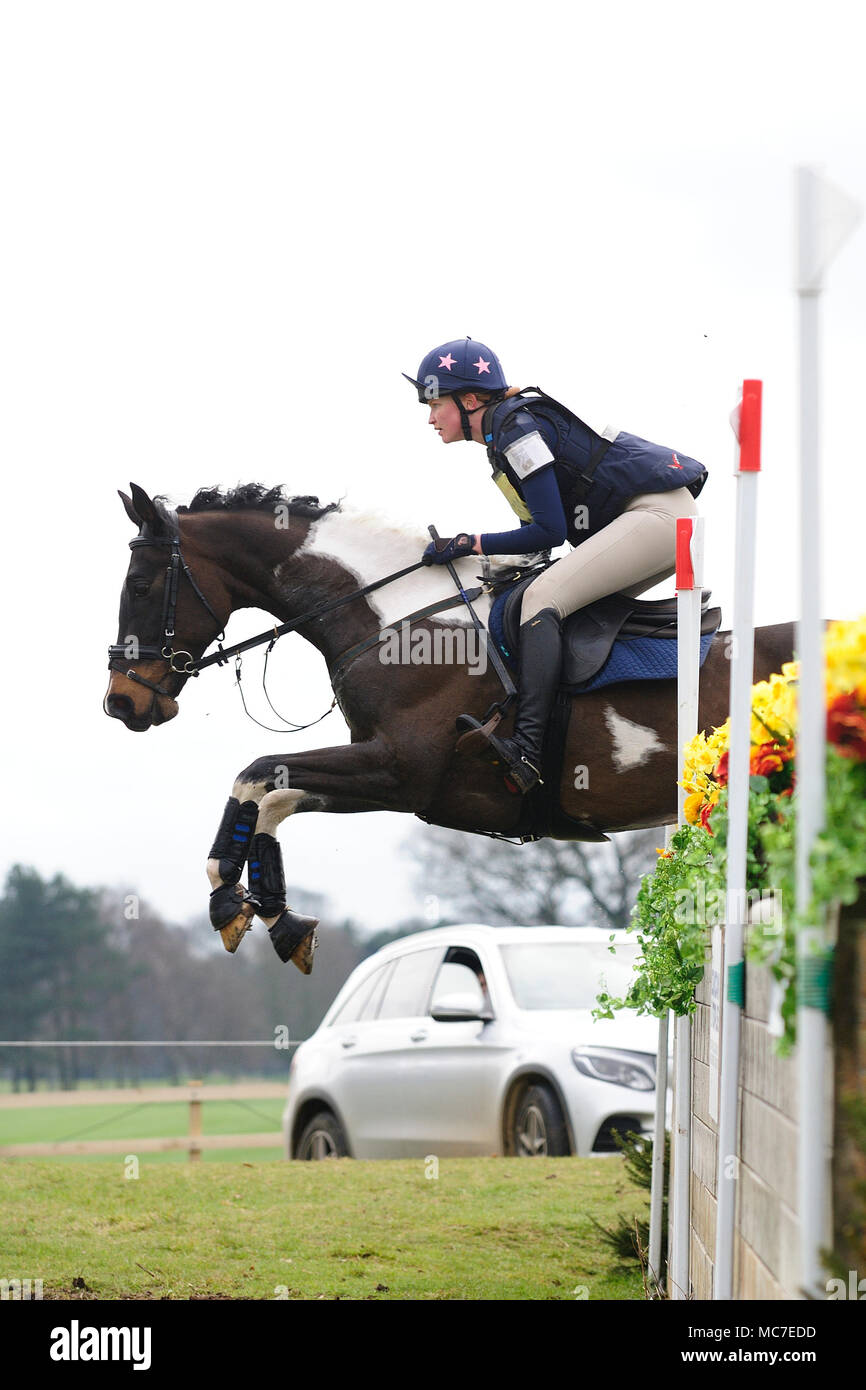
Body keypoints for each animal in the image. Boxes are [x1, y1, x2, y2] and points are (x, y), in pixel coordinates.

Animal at [104, 483, 795, 973]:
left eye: (139, 585)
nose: (122, 704)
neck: (395, 621)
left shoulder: (401, 771)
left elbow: (258, 778)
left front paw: (234, 903)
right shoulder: (392, 775)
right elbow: (269, 790)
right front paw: (273, 918)